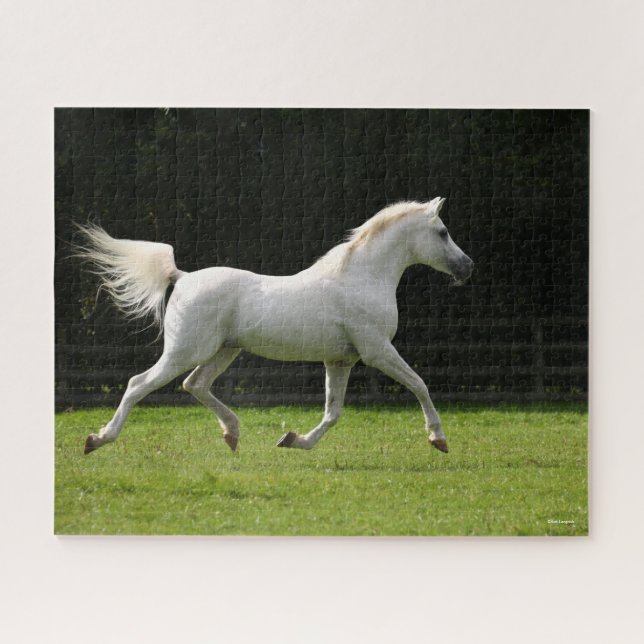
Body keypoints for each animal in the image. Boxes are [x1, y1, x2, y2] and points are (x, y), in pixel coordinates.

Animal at [77, 197, 474, 456]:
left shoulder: (340, 360)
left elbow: (333, 411)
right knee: (138, 384)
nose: (467, 266)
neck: (361, 279)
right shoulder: (377, 351)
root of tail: (183, 277)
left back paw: (233, 435)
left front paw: (295, 441)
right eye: (442, 232)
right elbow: (419, 384)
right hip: (185, 351)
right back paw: (97, 440)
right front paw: (439, 440)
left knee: (196, 384)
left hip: (224, 351)